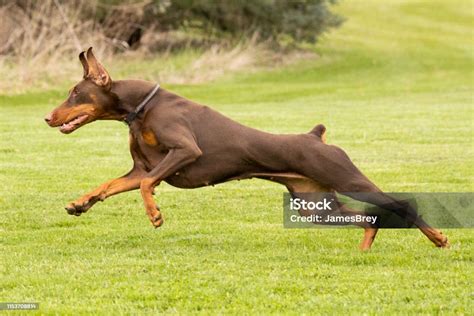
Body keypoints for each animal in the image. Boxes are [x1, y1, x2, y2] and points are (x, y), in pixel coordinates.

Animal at [44, 48, 448, 249]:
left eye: (75, 93)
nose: (47, 118)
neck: (141, 108)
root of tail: (315, 136)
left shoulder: (184, 152)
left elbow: (146, 186)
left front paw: (155, 214)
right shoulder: (141, 167)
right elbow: (110, 185)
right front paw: (80, 203)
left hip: (347, 178)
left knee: (400, 204)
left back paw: (439, 238)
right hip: (313, 205)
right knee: (367, 218)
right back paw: (364, 250)